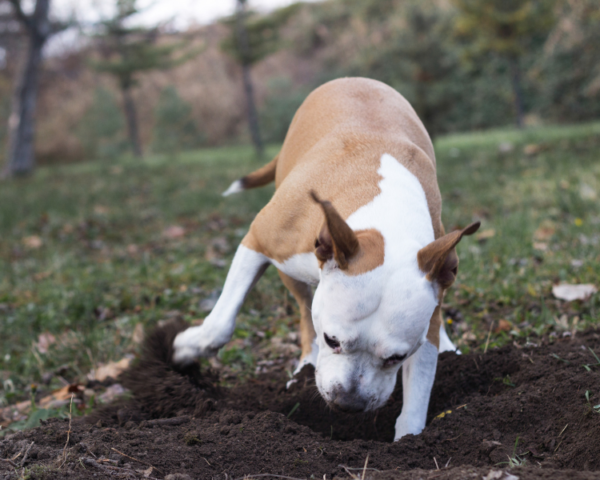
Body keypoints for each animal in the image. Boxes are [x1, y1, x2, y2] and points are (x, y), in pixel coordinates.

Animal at [172, 77, 478, 440]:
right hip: (291, 272)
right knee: (305, 310)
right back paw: (305, 364)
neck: (386, 214)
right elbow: (222, 321)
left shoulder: (428, 296)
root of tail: (354, 78)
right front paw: (188, 349)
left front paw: (410, 437)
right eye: (333, 340)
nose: (349, 403)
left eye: (396, 357)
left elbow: (419, 382)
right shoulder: (258, 242)